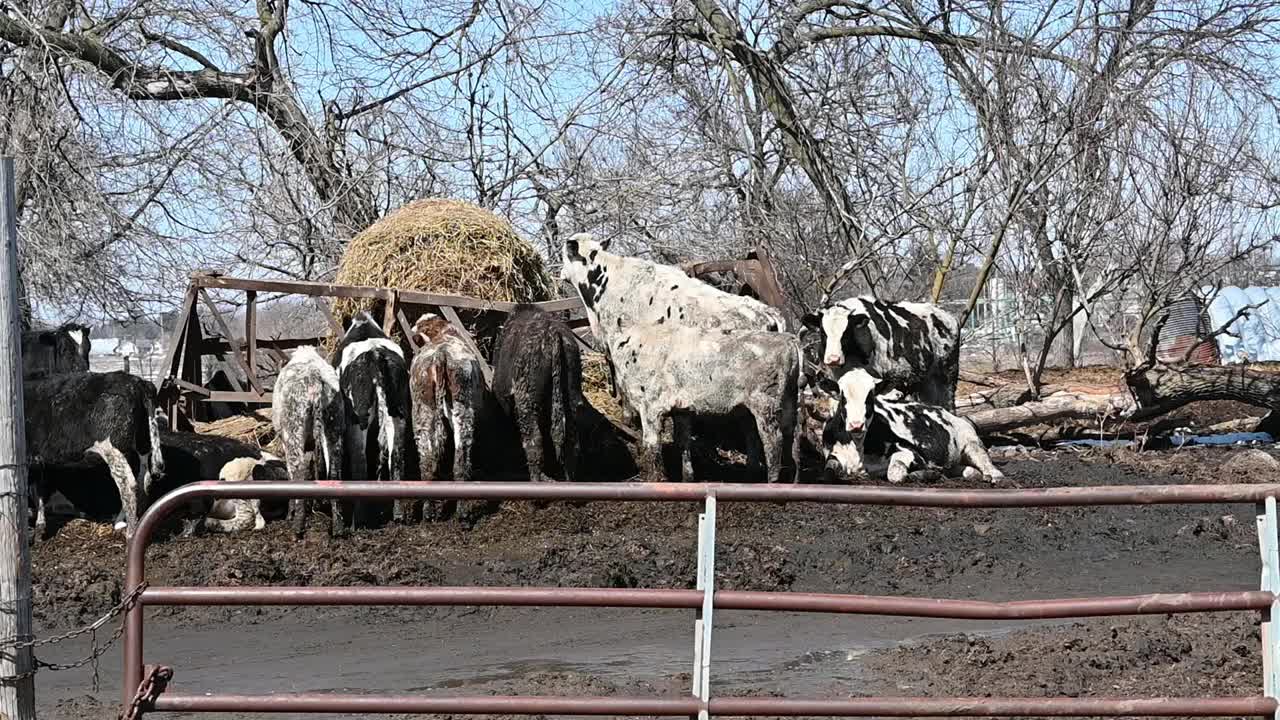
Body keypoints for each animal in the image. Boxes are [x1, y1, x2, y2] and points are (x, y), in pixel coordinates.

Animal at [272, 345, 345, 535]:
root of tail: (315, 377)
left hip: (293, 431)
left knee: (297, 469)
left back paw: (297, 525)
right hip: (334, 428)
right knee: (334, 471)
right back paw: (338, 526)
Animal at [330, 313, 409, 527]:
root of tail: (375, 354)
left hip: (359, 419)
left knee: (360, 462)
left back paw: (358, 521)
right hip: (398, 413)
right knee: (396, 456)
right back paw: (397, 514)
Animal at [412, 311, 486, 517]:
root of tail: (440, 355)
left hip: (425, 413)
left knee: (430, 461)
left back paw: (431, 512)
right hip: (462, 410)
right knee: (459, 458)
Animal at [829, 368, 998, 481]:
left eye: (870, 396)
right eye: (843, 397)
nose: (856, 425)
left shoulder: (913, 453)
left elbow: (895, 473)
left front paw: (925, 473)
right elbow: (829, 471)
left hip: (972, 443)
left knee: (987, 464)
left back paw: (992, 476)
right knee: (965, 470)